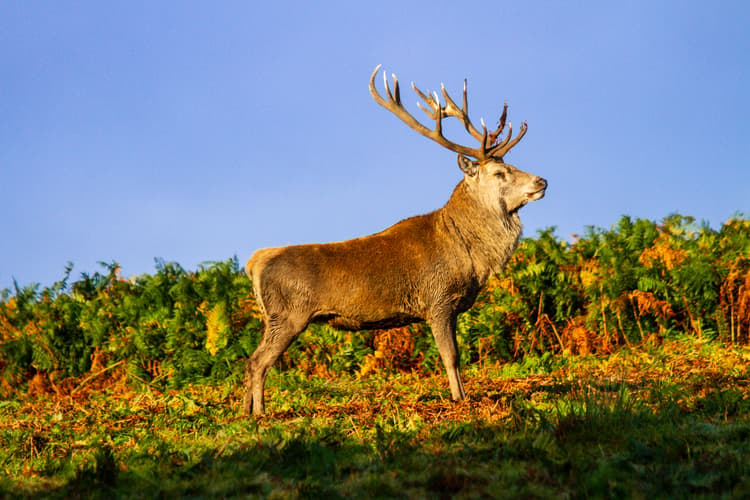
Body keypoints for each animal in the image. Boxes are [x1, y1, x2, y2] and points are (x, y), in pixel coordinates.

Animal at [244, 67, 548, 418]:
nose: (542, 181)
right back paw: (260, 414)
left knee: (250, 362)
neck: (470, 256)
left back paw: (244, 412)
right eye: (500, 172)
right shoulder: (438, 299)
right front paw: (460, 400)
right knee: (259, 362)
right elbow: (451, 356)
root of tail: (255, 263)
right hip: (288, 313)